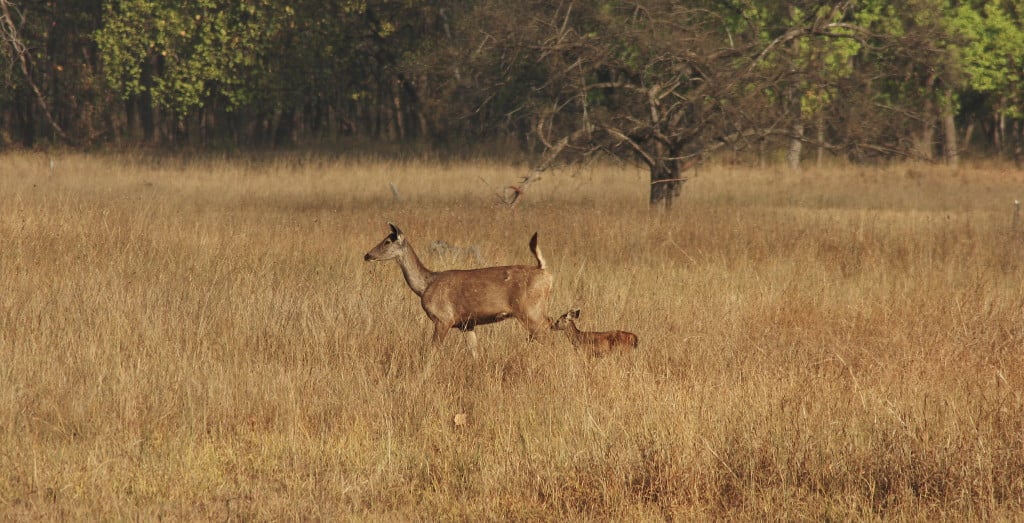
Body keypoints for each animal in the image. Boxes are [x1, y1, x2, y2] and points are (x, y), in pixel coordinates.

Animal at [362, 223, 552, 345]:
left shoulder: (444, 318)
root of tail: (544, 271)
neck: (425, 285)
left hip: (529, 310)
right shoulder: (466, 324)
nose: (367, 255)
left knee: (546, 331)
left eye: (387, 241)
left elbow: (431, 351)